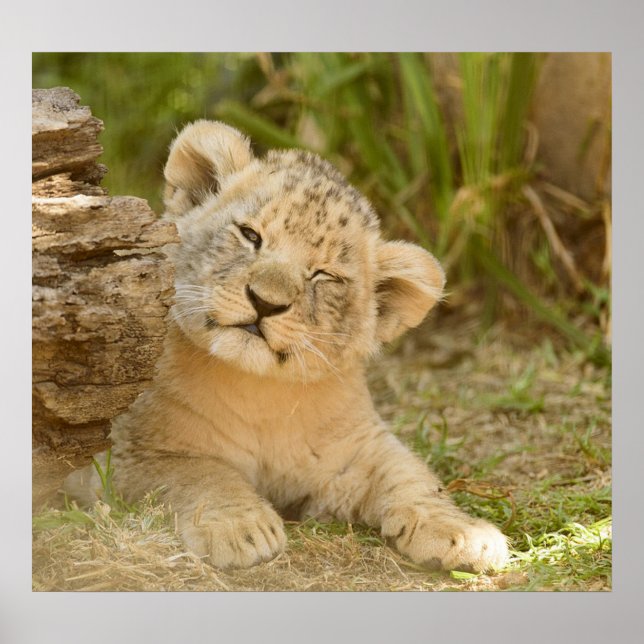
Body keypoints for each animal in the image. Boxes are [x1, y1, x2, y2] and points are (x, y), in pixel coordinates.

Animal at [65, 120, 509, 573]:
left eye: (324, 275)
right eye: (250, 235)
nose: (265, 302)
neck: (260, 394)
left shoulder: (355, 452)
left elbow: (412, 475)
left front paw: (466, 534)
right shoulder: (128, 451)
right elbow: (201, 473)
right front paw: (239, 529)